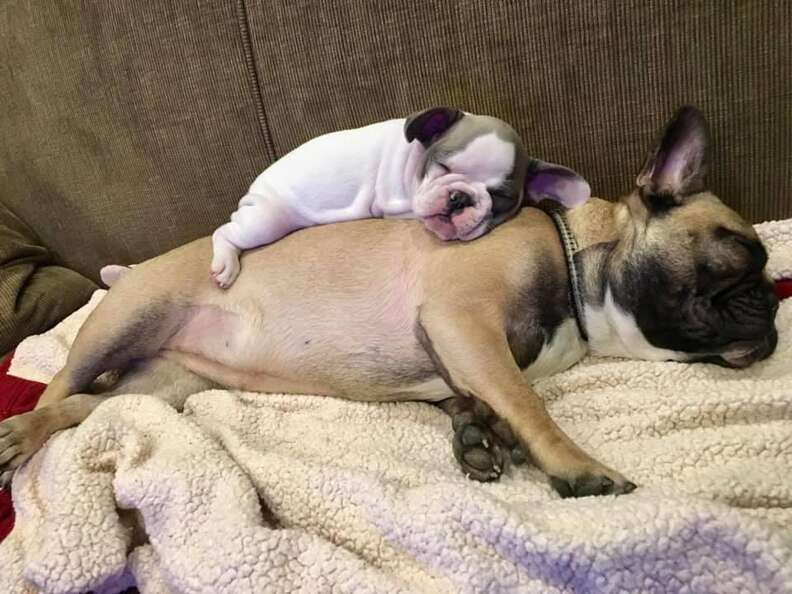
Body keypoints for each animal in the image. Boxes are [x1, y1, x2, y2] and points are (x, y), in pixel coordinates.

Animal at [210, 106, 588, 286]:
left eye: (499, 197)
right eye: (443, 165)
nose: (459, 198)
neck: (414, 160)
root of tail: (253, 191)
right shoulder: (396, 204)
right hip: (267, 219)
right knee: (225, 231)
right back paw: (225, 264)